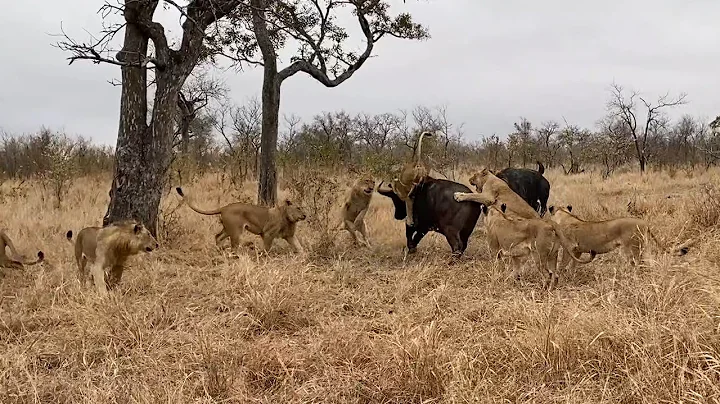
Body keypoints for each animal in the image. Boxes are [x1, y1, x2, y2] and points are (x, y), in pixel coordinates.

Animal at [176, 187, 307, 255]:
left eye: (303, 207)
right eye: (298, 208)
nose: (305, 215)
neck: (289, 220)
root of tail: (224, 207)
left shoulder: (290, 236)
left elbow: (299, 247)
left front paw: (303, 256)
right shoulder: (267, 234)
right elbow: (267, 248)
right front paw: (263, 255)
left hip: (228, 229)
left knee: (218, 236)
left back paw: (220, 251)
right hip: (236, 231)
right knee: (233, 246)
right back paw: (235, 255)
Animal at [548, 205, 692, 270]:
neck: (564, 216)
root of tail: (645, 223)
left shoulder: (570, 248)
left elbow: (563, 265)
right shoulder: (578, 251)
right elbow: (573, 266)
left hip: (632, 249)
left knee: (639, 264)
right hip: (644, 248)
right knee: (651, 262)